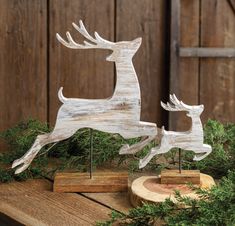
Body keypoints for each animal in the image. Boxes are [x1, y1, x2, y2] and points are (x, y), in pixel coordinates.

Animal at [11, 20, 157, 174]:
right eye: (125, 44)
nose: (139, 39)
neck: (125, 97)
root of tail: (64, 101)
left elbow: (154, 127)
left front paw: (130, 151)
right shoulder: (126, 128)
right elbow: (152, 130)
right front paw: (128, 151)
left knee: (40, 137)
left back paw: (17, 163)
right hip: (65, 128)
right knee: (41, 138)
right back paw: (21, 167)